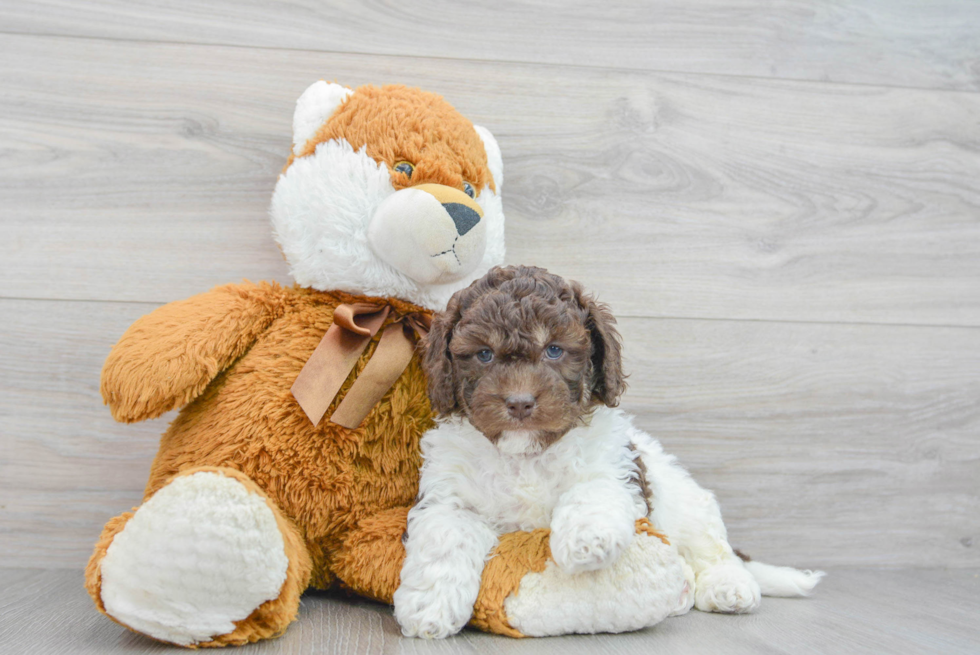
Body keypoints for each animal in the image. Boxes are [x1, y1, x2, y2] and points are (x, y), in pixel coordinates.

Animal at [394, 264, 824, 640]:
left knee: (717, 552)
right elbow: (445, 538)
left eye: (554, 350)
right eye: (484, 354)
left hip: (689, 505)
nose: (519, 403)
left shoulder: (615, 465)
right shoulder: (448, 495)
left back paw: (729, 587)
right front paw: (429, 609)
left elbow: (592, 489)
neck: (525, 456)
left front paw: (587, 541)